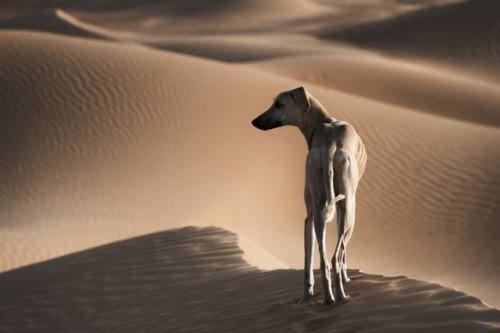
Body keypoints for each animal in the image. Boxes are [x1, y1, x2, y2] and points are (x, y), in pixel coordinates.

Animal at [252, 85, 366, 304]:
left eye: (279, 104)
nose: (254, 121)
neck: (324, 124)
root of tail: (330, 146)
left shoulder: (311, 214)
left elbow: (308, 265)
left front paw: (306, 298)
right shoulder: (349, 208)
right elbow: (344, 254)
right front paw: (346, 279)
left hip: (319, 210)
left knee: (323, 262)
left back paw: (327, 299)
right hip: (347, 210)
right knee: (335, 258)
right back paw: (340, 297)